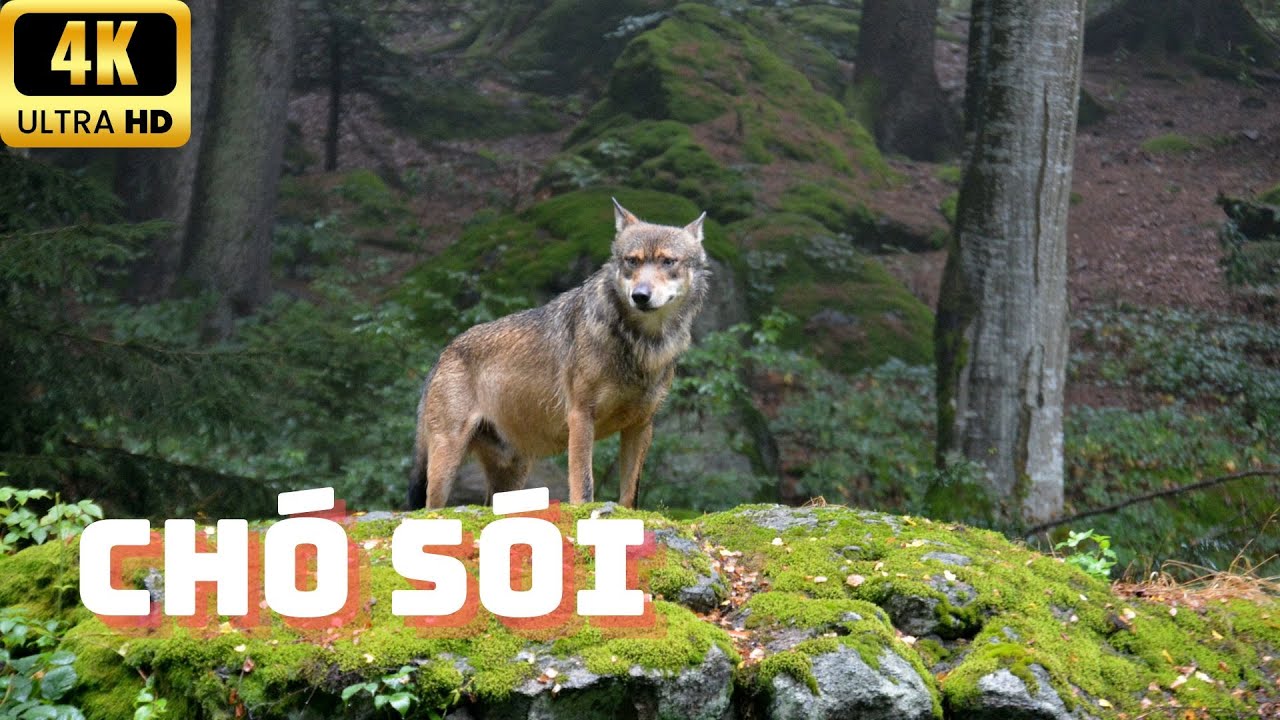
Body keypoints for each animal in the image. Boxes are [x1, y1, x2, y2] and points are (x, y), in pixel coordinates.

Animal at [406, 199, 710, 509]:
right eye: (632, 261)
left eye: (668, 261)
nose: (640, 295)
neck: (641, 343)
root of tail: (444, 353)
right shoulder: (580, 416)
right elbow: (584, 484)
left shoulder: (641, 426)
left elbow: (630, 494)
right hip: (446, 463)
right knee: (430, 507)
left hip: (511, 475)